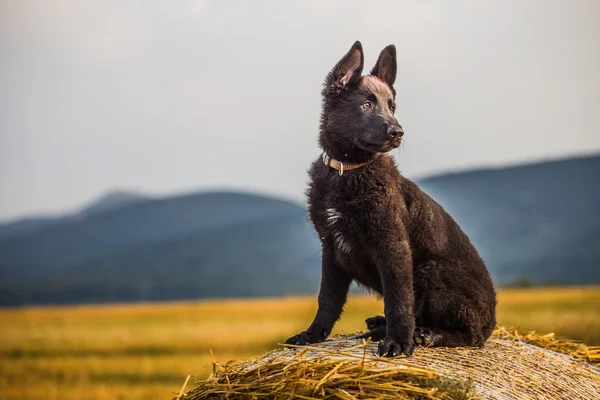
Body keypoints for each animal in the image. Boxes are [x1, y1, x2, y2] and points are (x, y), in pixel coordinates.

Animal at [286, 42, 496, 358]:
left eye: (391, 106)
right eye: (366, 104)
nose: (398, 133)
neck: (348, 170)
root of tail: (493, 320)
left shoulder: (392, 245)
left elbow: (398, 300)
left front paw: (398, 341)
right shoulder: (331, 248)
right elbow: (327, 299)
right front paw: (312, 335)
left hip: (430, 271)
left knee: (470, 334)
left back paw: (426, 334)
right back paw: (379, 326)